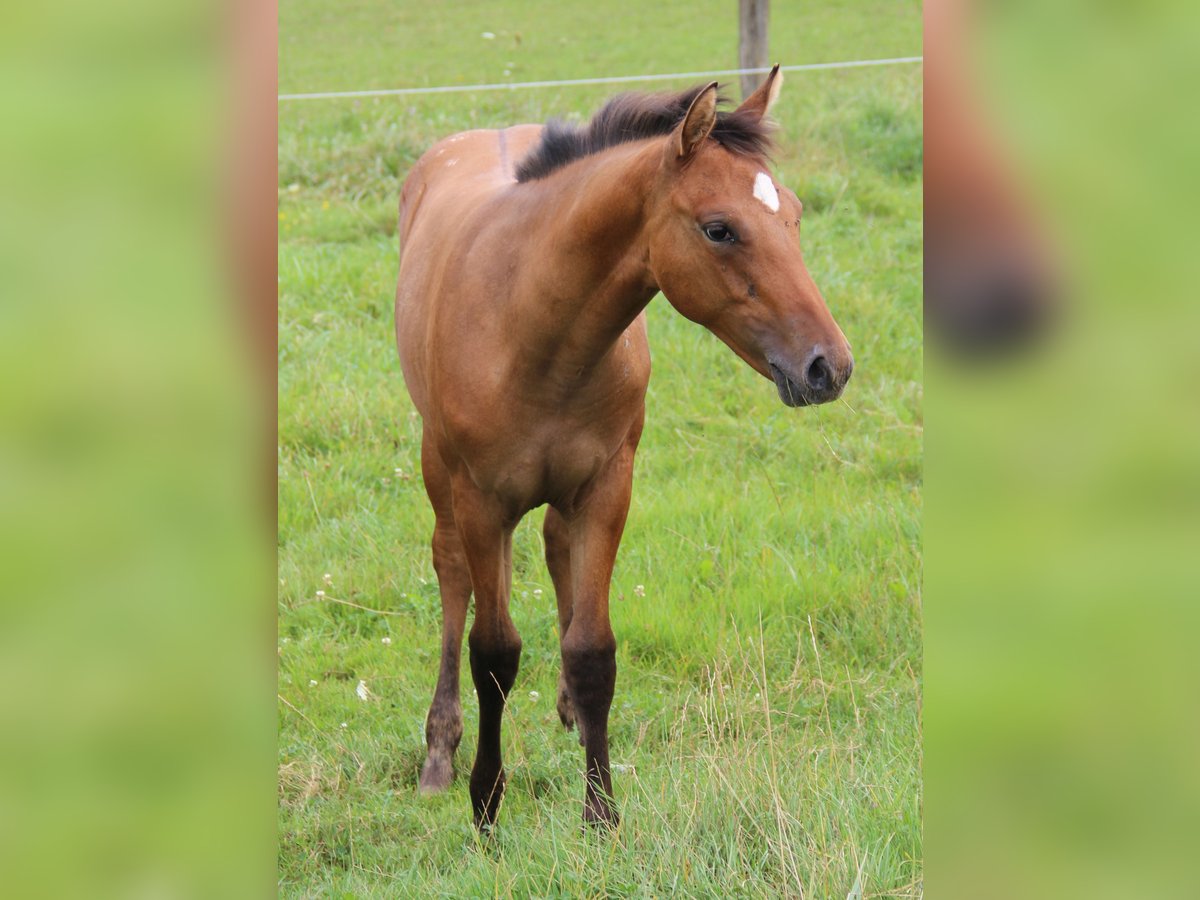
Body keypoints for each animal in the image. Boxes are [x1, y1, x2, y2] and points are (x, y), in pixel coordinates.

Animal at [393, 68, 854, 830]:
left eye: (792, 214)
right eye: (719, 228)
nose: (829, 367)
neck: (532, 327)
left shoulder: (609, 484)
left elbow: (592, 649)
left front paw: (602, 812)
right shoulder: (482, 498)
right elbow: (493, 653)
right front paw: (485, 804)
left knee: (553, 546)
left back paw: (569, 715)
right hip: (441, 469)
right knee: (451, 569)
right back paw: (439, 751)